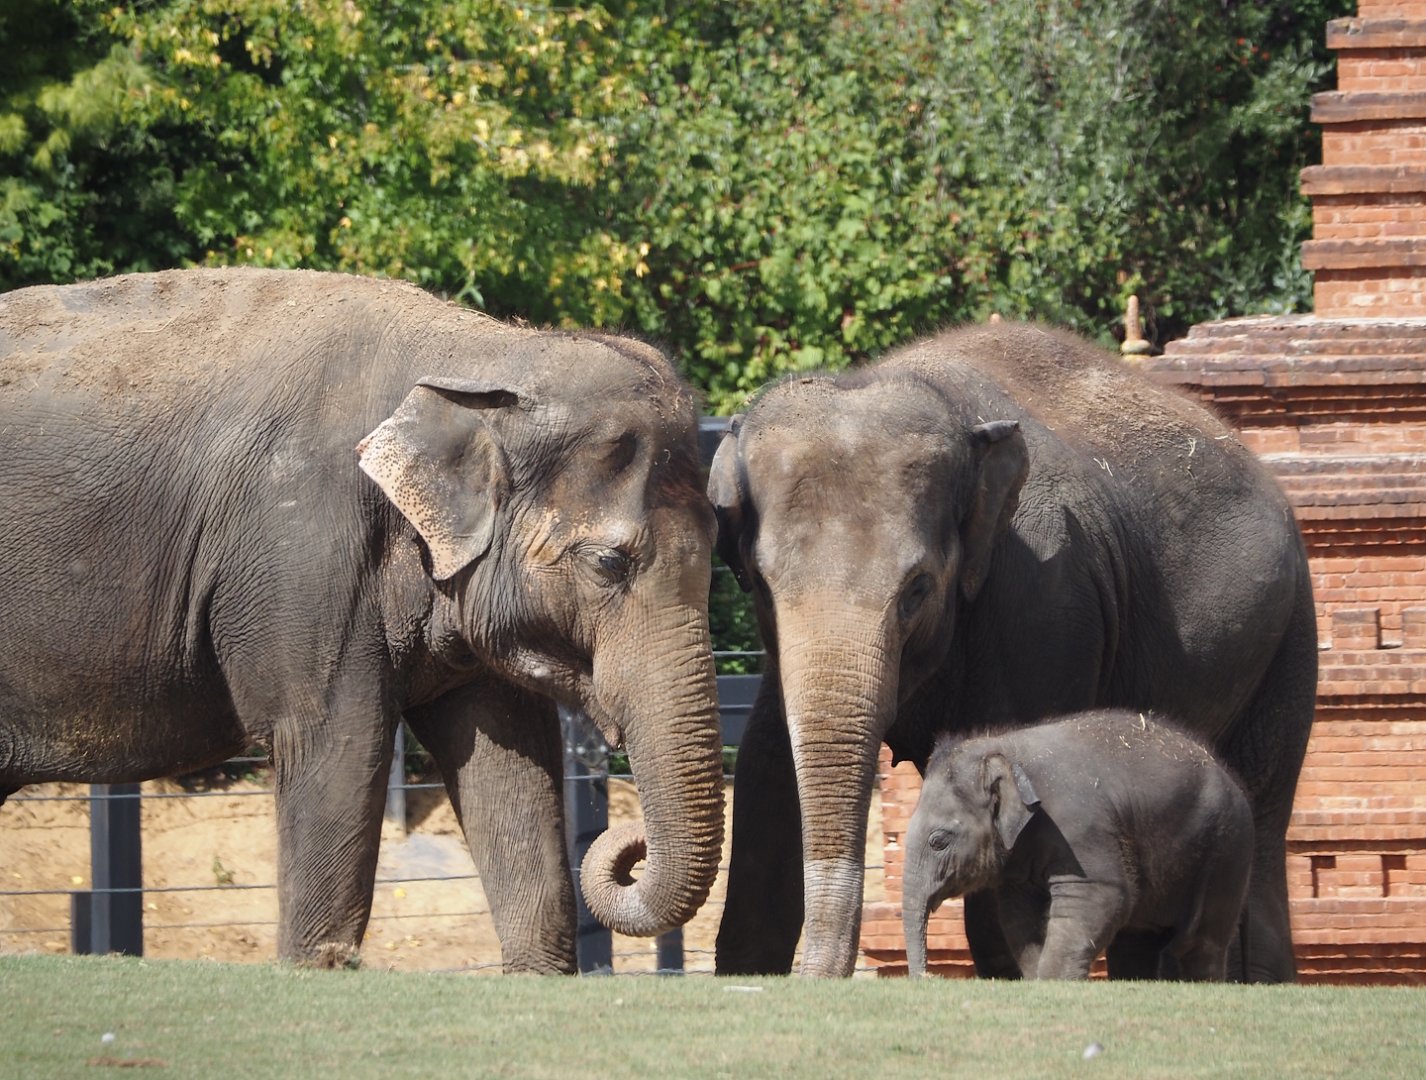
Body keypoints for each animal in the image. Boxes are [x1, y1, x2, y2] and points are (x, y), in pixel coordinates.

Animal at [0, 267, 725, 971]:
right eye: (608, 562)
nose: (627, 844)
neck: (488, 353)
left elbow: (512, 760)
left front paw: (538, 976)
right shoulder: (304, 552)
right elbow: (339, 744)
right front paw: (314, 968)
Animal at [902, 710, 1253, 981]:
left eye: (938, 841)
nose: (928, 977)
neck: (1005, 748)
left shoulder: (1080, 828)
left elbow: (1099, 895)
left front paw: (1054, 981)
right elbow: (1019, 914)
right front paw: (1039, 977)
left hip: (1227, 851)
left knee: (1199, 942)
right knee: (1137, 940)